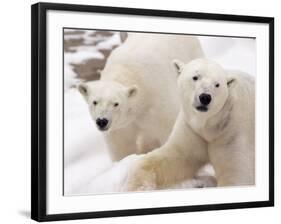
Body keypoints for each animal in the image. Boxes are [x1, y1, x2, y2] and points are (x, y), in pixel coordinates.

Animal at [76, 32, 203, 161]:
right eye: (95, 102)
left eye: (116, 103)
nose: (102, 121)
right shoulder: (120, 125)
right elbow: (121, 144)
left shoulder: (157, 99)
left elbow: (167, 129)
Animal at [124, 58, 254, 190]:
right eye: (195, 77)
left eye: (217, 84)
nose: (205, 97)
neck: (210, 125)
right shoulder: (192, 130)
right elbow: (174, 157)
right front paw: (136, 186)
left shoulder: (232, 132)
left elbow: (235, 173)